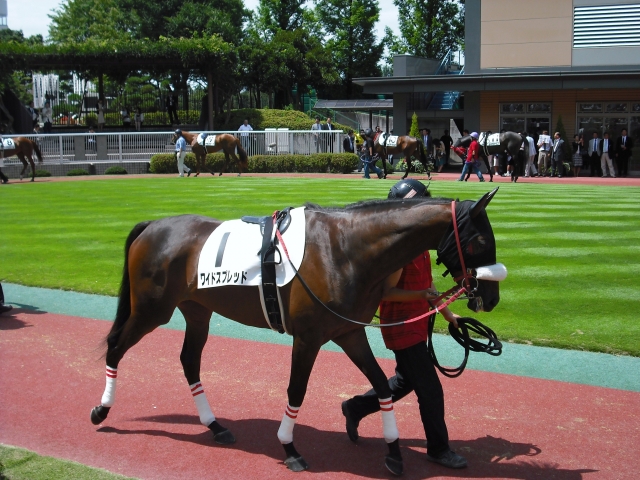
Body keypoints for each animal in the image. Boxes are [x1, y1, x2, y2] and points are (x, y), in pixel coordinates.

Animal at [90, 188, 505, 475]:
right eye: (482, 240)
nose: (492, 297)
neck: (344, 250)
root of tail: (152, 225)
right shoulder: (308, 338)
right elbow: (296, 391)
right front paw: (289, 448)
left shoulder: (348, 333)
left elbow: (382, 386)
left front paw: (393, 452)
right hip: (151, 310)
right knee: (115, 347)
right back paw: (101, 410)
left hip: (197, 311)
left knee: (189, 360)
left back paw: (216, 426)